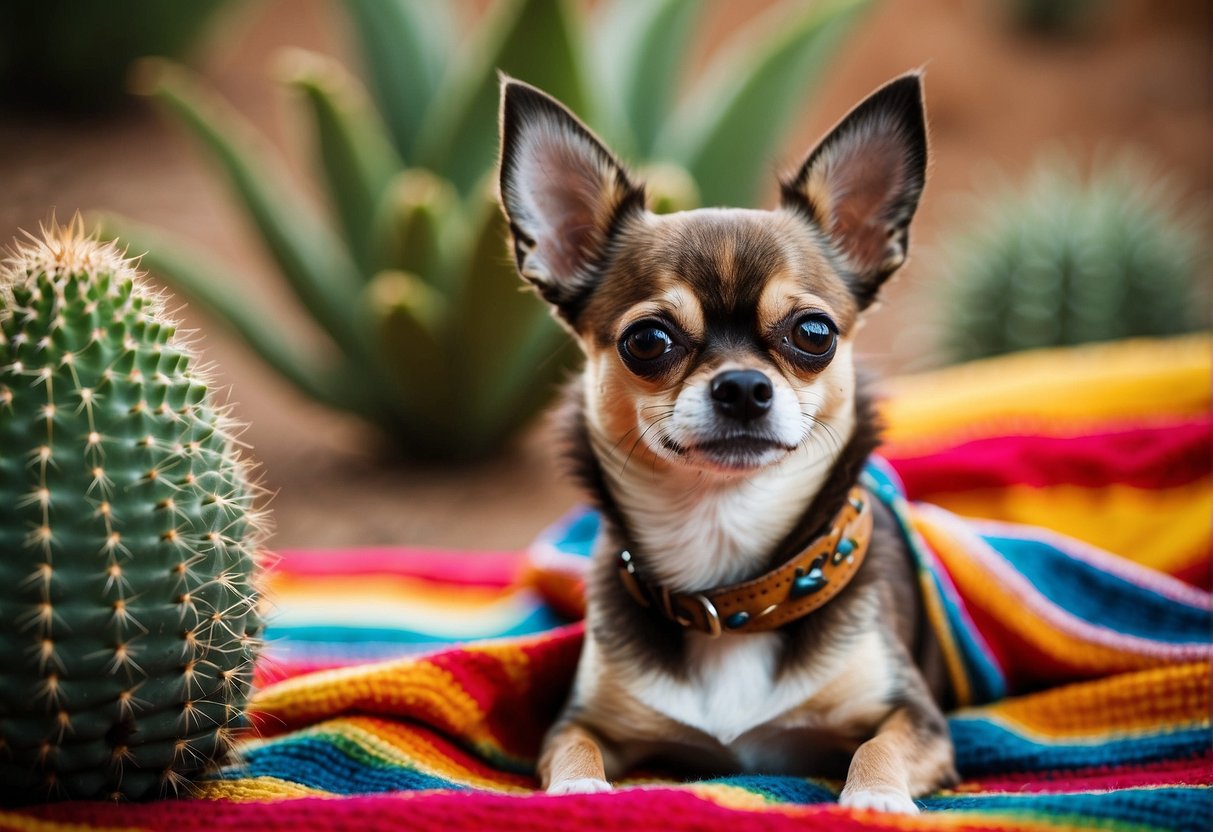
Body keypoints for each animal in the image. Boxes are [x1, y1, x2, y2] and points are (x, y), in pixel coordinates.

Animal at [492, 71, 955, 815]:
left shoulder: (918, 715)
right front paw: (580, 788)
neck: (733, 587)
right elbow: (572, 747)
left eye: (815, 333)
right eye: (646, 341)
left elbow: (876, 746)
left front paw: (875, 798)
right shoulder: (584, 719)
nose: (741, 386)